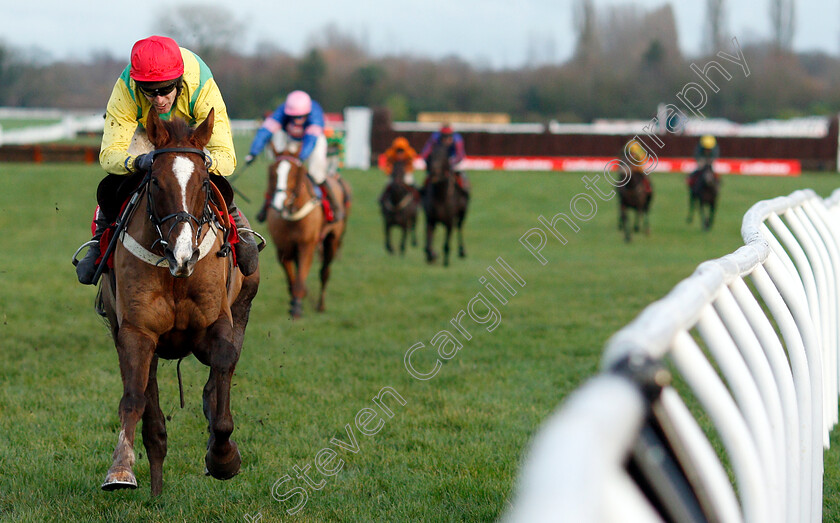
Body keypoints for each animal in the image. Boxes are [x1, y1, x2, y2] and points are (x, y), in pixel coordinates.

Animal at [95, 109, 260, 496]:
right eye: (155, 181)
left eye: (203, 183)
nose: (184, 255)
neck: (176, 275)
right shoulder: (137, 332)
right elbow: (134, 398)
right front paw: (120, 469)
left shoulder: (217, 323)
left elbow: (223, 370)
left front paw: (223, 458)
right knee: (150, 407)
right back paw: (155, 486)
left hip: (243, 304)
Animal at [268, 144, 350, 320]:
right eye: (273, 172)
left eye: (294, 172)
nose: (278, 204)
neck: (292, 215)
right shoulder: (283, 248)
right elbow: (292, 280)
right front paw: (294, 303)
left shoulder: (308, 244)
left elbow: (300, 280)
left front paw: (297, 309)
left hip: (332, 240)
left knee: (325, 272)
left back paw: (321, 305)